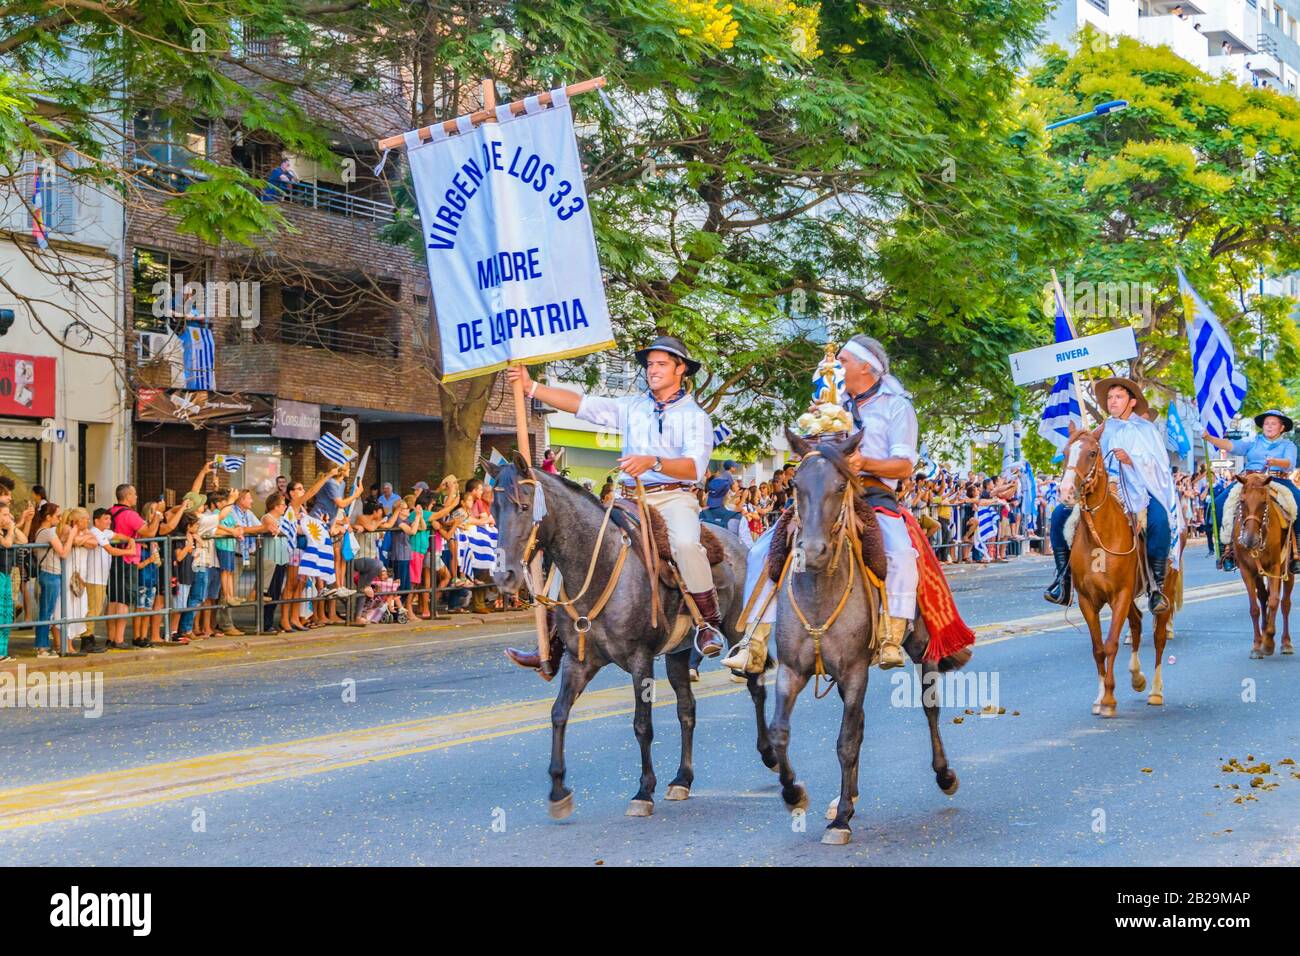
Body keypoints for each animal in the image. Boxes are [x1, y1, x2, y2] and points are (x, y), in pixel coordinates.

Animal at [486, 455, 769, 822]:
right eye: (493, 509)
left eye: (523, 506)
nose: (503, 575)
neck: (598, 565)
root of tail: (738, 544)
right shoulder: (579, 661)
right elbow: (559, 713)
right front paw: (559, 790)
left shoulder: (640, 660)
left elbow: (642, 725)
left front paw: (644, 791)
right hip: (678, 653)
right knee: (687, 709)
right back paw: (682, 779)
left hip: (736, 632)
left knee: (756, 686)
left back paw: (770, 754)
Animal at [769, 431, 967, 842]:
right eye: (795, 486)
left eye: (841, 485)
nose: (812, 551)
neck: (819, 591)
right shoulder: (791, 670)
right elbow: (780, 732)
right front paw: (795, 793)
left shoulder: (855, 670)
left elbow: (845, 741)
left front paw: (841, 820)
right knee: (858, 723)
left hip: (921, 648)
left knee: (929, 708)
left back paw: (944, 775)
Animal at [1060, 426, 1185, 717]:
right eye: (1065, 451)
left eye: (1092, 452)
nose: (1065, 491)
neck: (1099, 536)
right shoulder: (1088, 600)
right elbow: (1097, 648)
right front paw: (1099, 697)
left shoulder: (1120, 595)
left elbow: (1111, 643)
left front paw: (1108, 700)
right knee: (1137, 623)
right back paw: (1137, 677)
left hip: (1161, 589)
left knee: (1158, 637)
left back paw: (1155, 692)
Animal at [1232, 476, 1294, 660]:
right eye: (1242, 501)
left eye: (1264, 502)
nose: (1249, 539)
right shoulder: (1246, 570)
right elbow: (1254, 608)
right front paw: (1257, 645)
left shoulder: (1274, 567)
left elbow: (1274, 602)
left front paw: (1268, 642)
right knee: (1263, 596)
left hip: (1288, 570)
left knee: (1285, 603)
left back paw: (1285, 642)